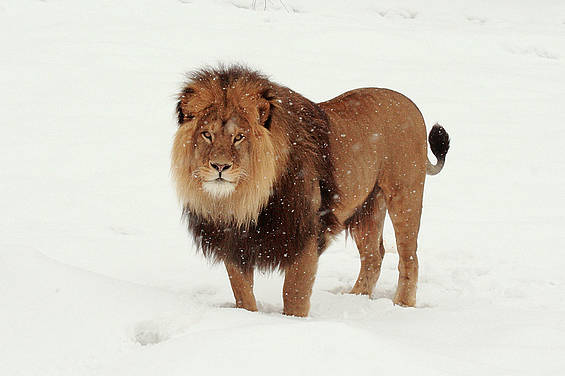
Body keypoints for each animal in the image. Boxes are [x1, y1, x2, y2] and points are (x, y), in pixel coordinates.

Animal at [172, 65, 450, 318]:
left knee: (409, 257)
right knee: (373, 256)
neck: (244, 199)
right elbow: (242, 293)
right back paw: (355, 299)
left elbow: (294, 293)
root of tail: (409, 103)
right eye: (206, 135)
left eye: (239, 137)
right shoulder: (234, 242)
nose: (220, 166)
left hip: (404, 194)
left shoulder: (305, 234)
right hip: (367, 208)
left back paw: (402, 307)